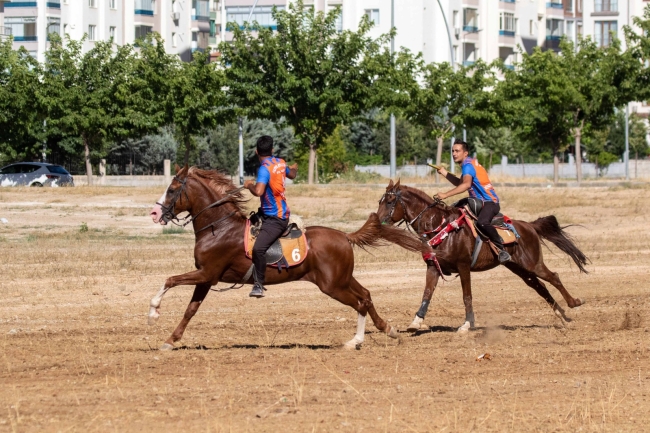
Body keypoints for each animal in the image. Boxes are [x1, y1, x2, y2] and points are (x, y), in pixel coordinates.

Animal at [149, 164, 428, 350]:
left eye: (172, 190)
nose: (154, 213)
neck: (219, 226)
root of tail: (344, 235)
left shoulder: (207, 273)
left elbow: (169, 280)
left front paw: (153, 310)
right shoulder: (207, 278)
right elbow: (190, 309)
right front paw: (171, 340)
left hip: (332, 285)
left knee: (359, 303)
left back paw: (355, 341)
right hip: (342, 279)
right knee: (367, 296)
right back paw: (388, 330)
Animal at [374, 179, 588, 330]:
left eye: (390, 201)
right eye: (380, 201)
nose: (376, 222)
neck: (441, 226)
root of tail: (529, 226)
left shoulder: (463, 266)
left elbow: (466, 296)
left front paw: (467, 324)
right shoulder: (433, 267)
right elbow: (427, 293)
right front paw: (416, 321)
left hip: (533, 263)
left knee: (554, 277)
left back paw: (574, 303)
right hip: (518, 267)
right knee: (539, 286)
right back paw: (562, 315)